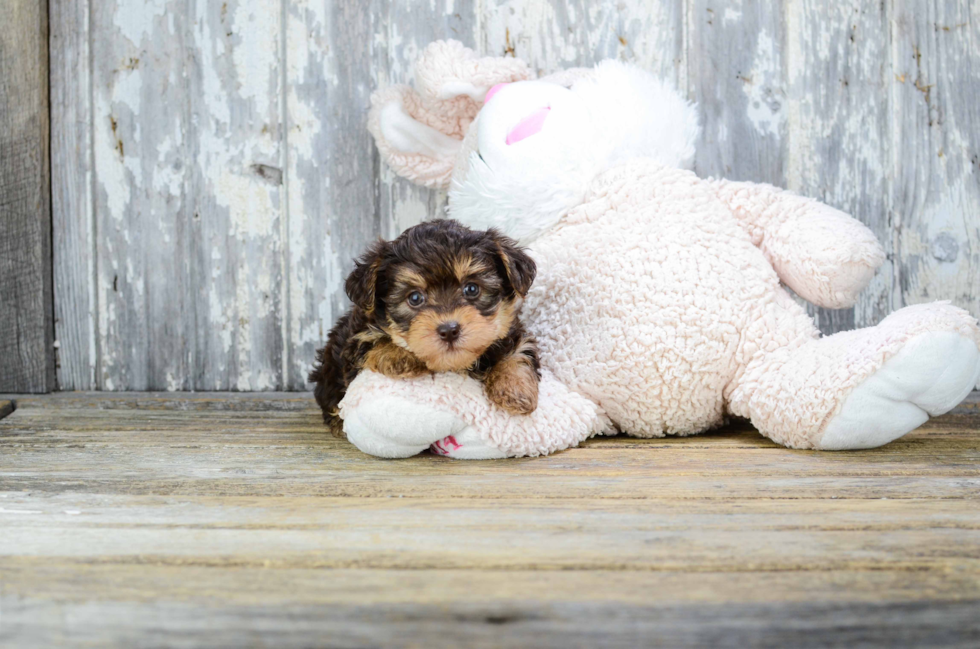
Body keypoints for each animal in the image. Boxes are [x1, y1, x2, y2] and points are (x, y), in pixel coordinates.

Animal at [310, 218, 540, 436]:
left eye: (472, 289)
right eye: (415, 298)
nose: (449, 330)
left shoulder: (512, 332)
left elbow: (518, 351)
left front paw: (514, 388)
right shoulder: (355, 338)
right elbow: (372, 338)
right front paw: (397, 355)